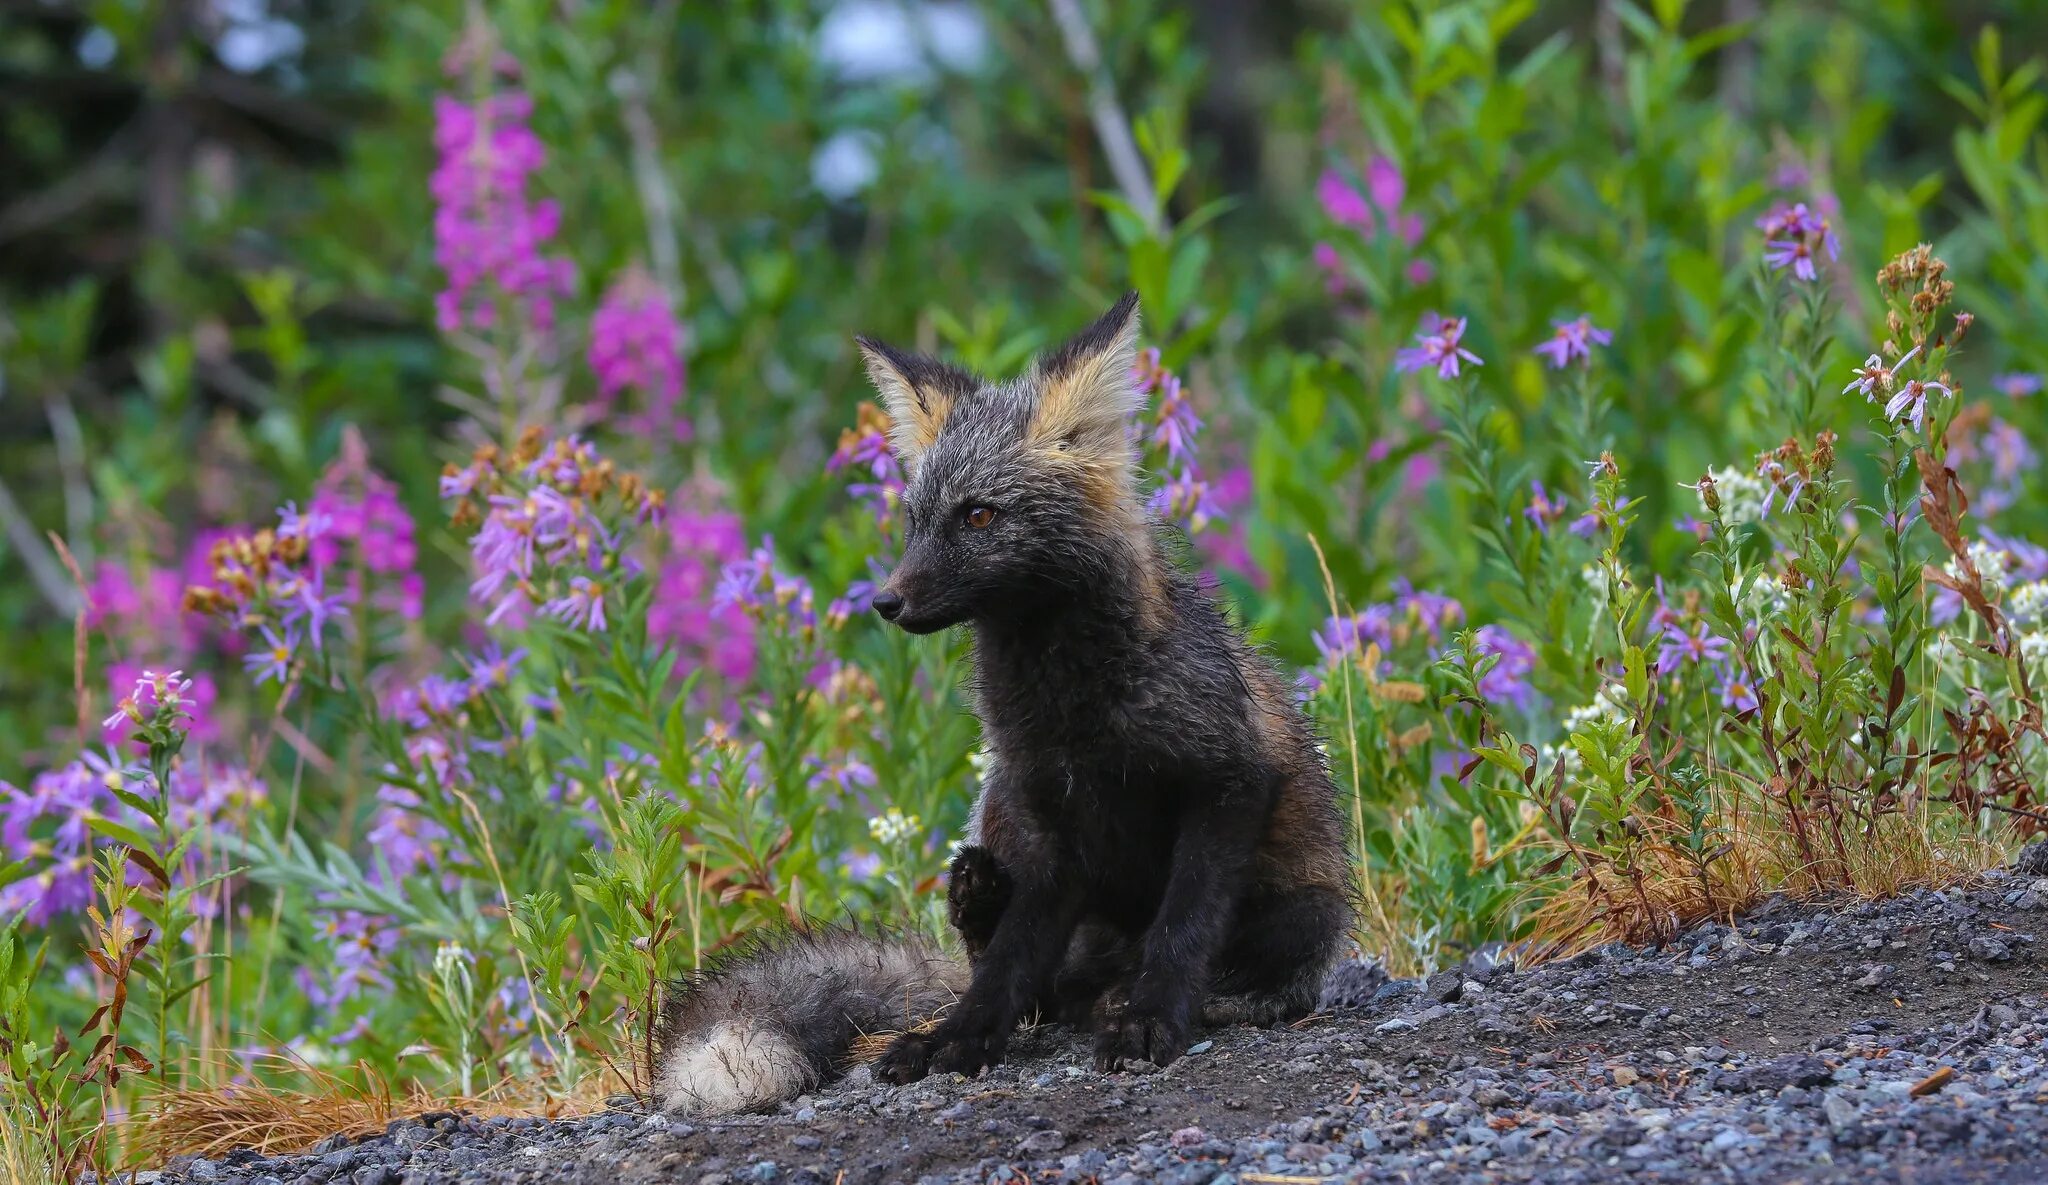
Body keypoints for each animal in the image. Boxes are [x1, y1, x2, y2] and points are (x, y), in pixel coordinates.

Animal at [655, 292, 1351, 1121]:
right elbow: (1007, 968)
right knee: (1033, 984)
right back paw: (981, 913)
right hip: (999, 811)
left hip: (1304, 910)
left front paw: (1152, 1017)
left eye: (980, 516)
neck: (1074, 705)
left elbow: (1183, 928)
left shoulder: (1226, 782)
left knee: (1228, 978)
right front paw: (959, 1036)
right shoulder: (1045, 811)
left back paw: (1176, 997)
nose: (886, 602)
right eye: (915, 521)